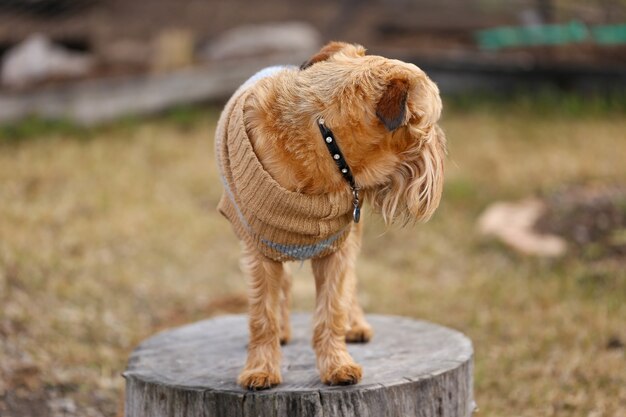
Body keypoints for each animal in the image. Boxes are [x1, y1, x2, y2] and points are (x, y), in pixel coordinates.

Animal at [214, 40, 444, 388]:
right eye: (429, 124)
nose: (440, 144)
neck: (325, 141)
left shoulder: (336, 249)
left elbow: (332, 308)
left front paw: (337, 364)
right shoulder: (259, 250)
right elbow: (262, 314)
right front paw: (261, 368)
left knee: (350, 286)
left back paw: (355, 324)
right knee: (283, 288)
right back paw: (283, 331)